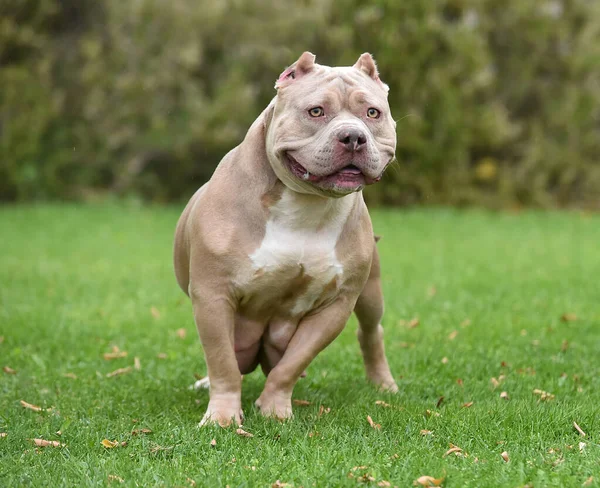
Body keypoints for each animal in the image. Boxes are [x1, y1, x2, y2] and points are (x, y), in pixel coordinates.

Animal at [173, 52, 398, 428]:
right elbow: (222, 363)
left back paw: (383, 384)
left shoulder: (334, 306)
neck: (306, 204)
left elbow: (292, 364)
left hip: (370, 292)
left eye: (372, 113)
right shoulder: (213, 296)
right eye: (316, 111)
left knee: (371, 332)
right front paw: (222, 417)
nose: (353, 136)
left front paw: (274, 409)